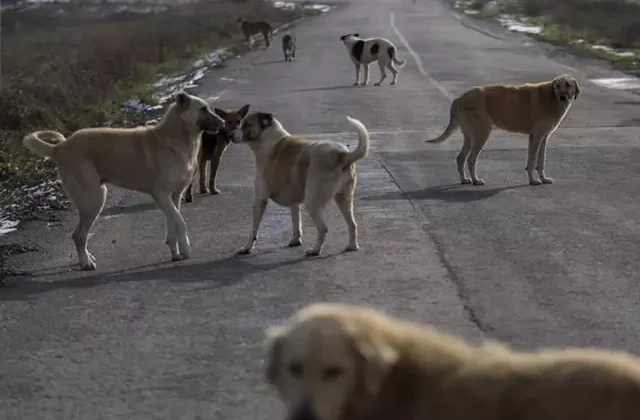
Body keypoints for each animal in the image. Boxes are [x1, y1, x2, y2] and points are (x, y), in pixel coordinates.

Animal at [21, 91, 225, 270]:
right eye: (203, 109)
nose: (223, 123)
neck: (175, 138)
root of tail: (59, 148)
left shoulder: (173, 197)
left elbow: (173, 223)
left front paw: (176, 252)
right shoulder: (161, 195)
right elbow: (180, 222)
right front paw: (186, 249)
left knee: (79, 235)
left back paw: (87, 258)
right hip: (94, 200)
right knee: (78, 236)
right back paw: (86, 263)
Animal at [231, 111, 370, 256]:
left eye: (246, 124)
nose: (230, 135)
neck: (268, 139)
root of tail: (342, 154)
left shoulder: (260, 199)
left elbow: (254, 228)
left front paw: (247, 247)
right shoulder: (294, 201)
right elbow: (296, 221)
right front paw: (296, 240)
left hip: (313, 202)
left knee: (323, 228)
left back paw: (315, 250)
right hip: (344, 198)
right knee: (352, 224)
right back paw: (352, 246)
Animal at [424, 72, 580, 185]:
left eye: (568, 85)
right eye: (558, 86)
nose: (562, 97)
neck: (551, 98)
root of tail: (459, 98)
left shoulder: (543, 137)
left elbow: (541, 160)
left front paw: (543, 178)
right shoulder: (536, 137)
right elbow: (532, 161)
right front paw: (533, 180)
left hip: (470, 136)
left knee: (461, 158)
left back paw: (464, 180)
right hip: (482, 133)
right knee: (470, 159)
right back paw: (476, 180)